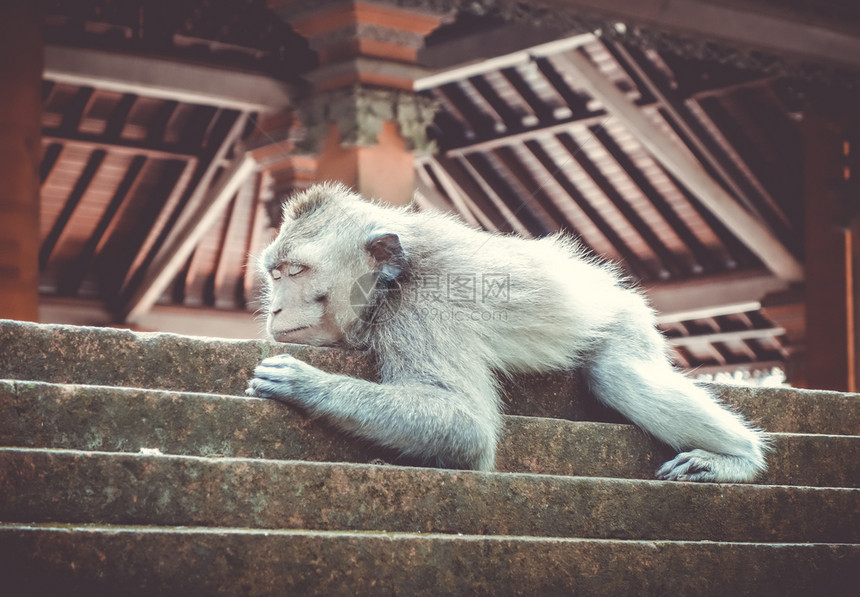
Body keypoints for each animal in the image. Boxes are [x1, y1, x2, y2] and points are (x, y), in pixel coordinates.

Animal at [247, 180, 764, 480]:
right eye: (275, 274)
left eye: (297, 271)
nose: (275, 309)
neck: (390, 282)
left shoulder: (421, 311)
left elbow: (466, 424)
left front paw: (305, 383)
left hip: (624, 317)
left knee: (620, 374)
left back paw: (738, 458)